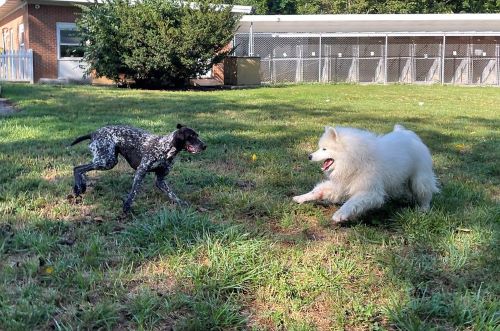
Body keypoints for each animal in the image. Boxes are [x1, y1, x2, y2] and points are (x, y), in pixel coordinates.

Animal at [69, 124, 206, 213]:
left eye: (197, 135)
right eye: (191, 136)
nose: (205, 146)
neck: (165, 147)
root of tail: (93, 133)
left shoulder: (160, 180)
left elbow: (172, 194)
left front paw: (181, 203)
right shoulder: (141, 172)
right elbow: (134, 192)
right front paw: (127, 206)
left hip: (106, 161)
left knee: (80, 170)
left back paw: (80, 187)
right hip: (107, 161)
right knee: (77, 168)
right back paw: (79, 188)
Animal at [292, 126, 438, 224]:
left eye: (324, 149)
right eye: (320, 148)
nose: (309, 156)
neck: (354, 159)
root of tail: (408, 134)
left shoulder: (369, 191)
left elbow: (352, 202)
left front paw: (340, 214)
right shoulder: (341, 185)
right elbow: (317, 191)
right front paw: (301, 197)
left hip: (419, 178)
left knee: (425, 193)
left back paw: (423, 209)